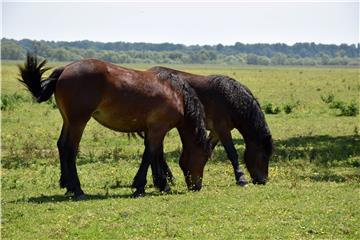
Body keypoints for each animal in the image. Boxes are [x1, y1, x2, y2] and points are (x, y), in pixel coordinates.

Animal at [18, 54, 210, 199]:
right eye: (205, 157)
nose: (197, 186)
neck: (176, 94)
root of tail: (65, 69)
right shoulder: (158, 129)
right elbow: (150, 154)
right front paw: (140, 187)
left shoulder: (153, 130)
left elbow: (155, 154)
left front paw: (162, 185)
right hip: (78, 121)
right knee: (70, 148)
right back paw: (78, 190)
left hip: (68, 121)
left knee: (61, 146)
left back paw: (68, 187)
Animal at [142, 67, 274, 186]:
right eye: (263, 156)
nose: (263, 180)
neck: (230, 99)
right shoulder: (222, 129)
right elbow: (232, 153)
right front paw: (241, 178)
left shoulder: (215, 132)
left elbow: (209, 147)